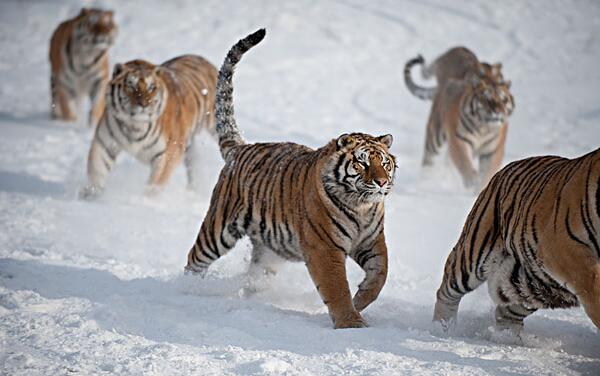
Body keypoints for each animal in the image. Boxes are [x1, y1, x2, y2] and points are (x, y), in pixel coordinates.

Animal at [81, 54, 218, 198]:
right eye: (131, 86)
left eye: (151, 87)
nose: (144, 104)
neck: (135, 125)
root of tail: (200, 58)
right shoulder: (104, 143)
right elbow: (97, 169)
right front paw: (91, 194)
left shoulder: (168, 152)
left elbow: (156, 181)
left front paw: (146, 199)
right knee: (194, 164)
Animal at [185, 29, 396, 328]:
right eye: (362, 163)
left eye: (384, 163)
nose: (381, 182)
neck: (362, 206)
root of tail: (240, 147)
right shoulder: (324, 247)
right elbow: (336, 287)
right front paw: (350, 322)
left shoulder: (372, 241)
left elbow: (381, 274)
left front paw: (361, 299)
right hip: (218, 229)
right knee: (195, 259)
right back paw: (188, 288)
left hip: (269, 250)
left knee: (255, 277)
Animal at [404, 48, 516, 192]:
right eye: (487, 99)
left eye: (504, 100)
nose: (497, 111)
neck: (483, 128)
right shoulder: (458, 140)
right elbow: (464, 163)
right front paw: (472, 181)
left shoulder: (493, 150)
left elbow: (488, 171)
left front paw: (480, 187)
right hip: (435, 135)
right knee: (429, 159)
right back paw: (425, 180)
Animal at [434, 148, 600, 334]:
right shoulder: (564, 248)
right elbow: (594, 288)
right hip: (473, 256)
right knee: (446, 291)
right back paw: (442, 328)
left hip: (534, 284)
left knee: (506, 312)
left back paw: (508, 337)